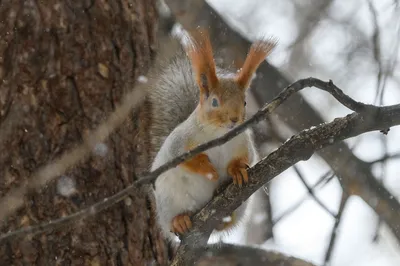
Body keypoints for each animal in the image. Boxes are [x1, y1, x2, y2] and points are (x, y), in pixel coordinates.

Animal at [148, 30, 278, 242]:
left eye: (244, 102)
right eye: (215, 102)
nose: (234, 119)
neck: (219, 134)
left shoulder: (243, 142)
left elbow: (246, 157)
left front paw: (236, 170)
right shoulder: (178, 141)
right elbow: (179, 157)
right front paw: (208, 169)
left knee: (225, 222)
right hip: (167, 202)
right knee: (172, 220)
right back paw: (179, 220)